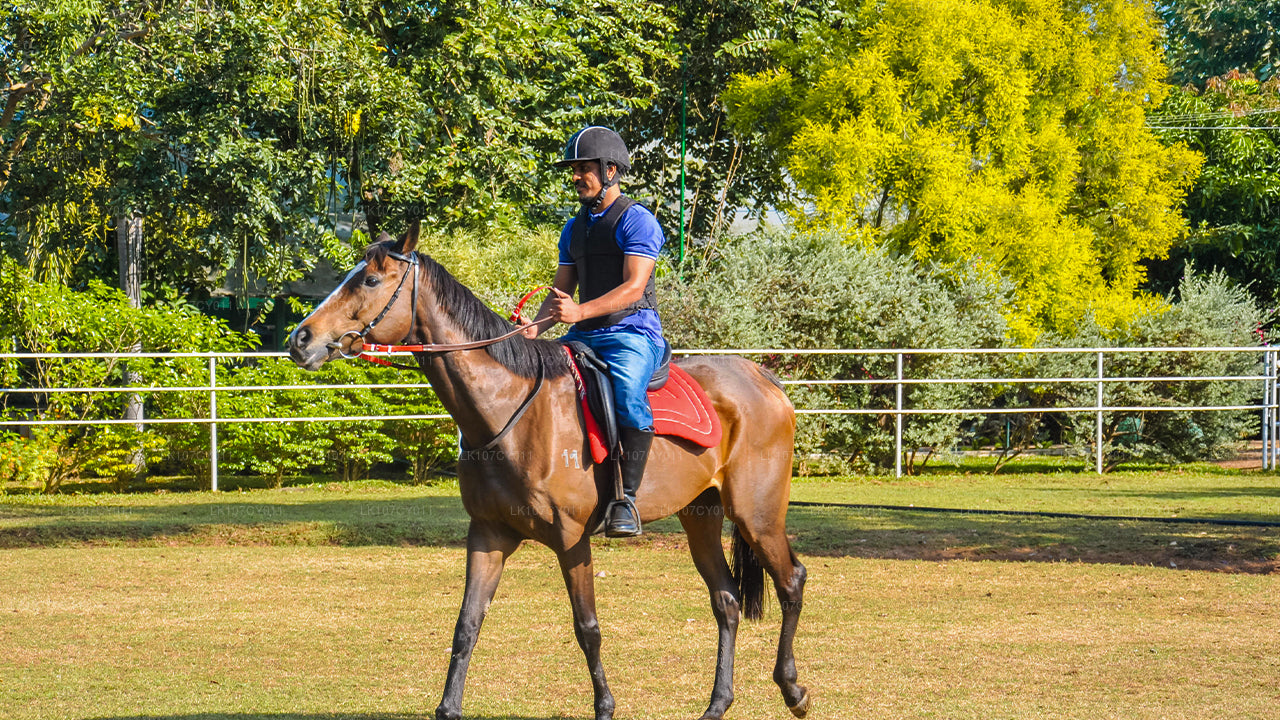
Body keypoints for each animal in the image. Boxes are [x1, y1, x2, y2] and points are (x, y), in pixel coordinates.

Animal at [291, 224, 808, 717]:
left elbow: (587, 628)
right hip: (701, 516)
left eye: (370, 280)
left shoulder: (571, 539)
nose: (301, 339)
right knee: (727, 601)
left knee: (791, 582)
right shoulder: (488, 535)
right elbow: (467, 625)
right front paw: (448, 706)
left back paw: (793, 689)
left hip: (756, 516)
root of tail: (763, 378)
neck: (510, 409)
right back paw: (718, 703)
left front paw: (605, 706)